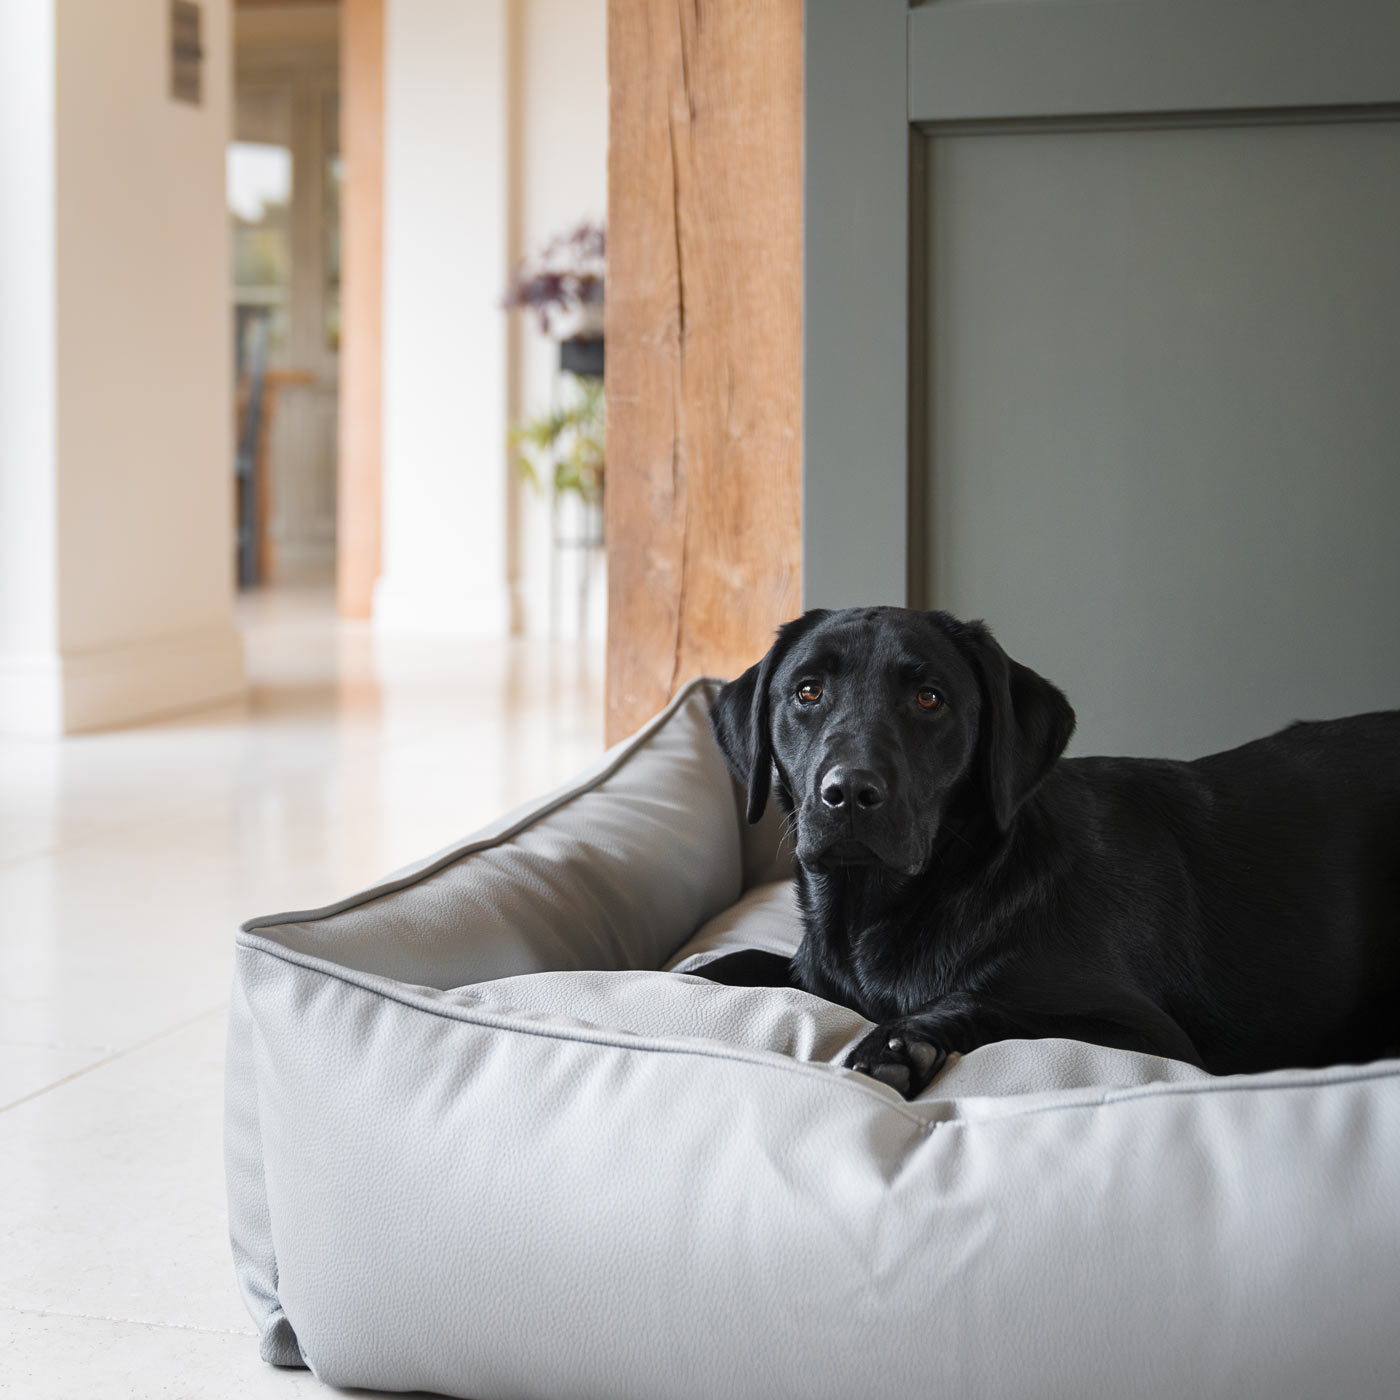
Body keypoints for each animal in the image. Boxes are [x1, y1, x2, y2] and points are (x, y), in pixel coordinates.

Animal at [705, 607, 1400, 1097]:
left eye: (930, 697)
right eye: (808, 691)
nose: (848, 793)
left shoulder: (1148, 1036)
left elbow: (986, 1000)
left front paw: (901, 1046)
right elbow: (729, 964)